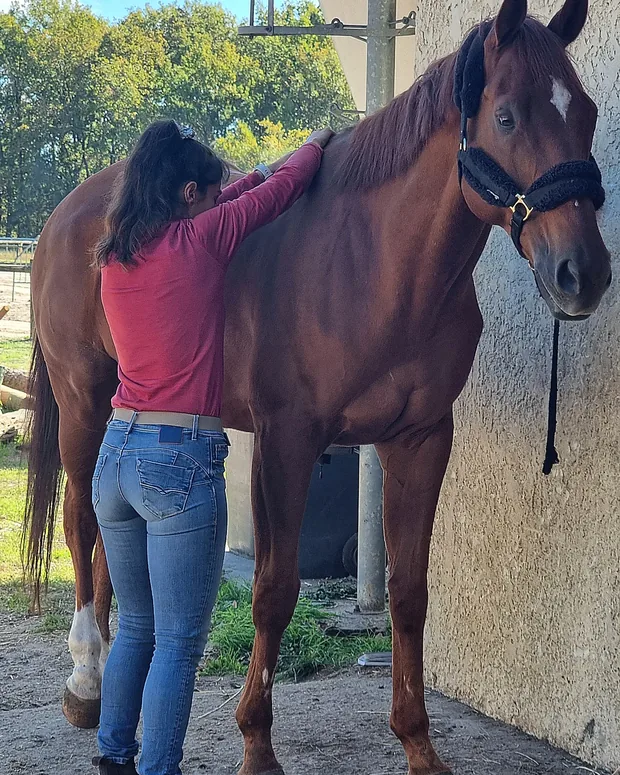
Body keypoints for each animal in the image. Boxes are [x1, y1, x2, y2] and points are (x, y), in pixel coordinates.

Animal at [24, 0, 611, 772]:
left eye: (590, 113)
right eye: (508, 117)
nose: (584, 273)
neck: (373, 264)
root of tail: (76, 209)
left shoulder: (420, 440)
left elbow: (409, 592)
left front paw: (418, 743)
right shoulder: (289, 442)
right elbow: (275, 590)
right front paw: (256, 743)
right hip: (85, 403)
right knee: (82, 521)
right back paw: (87, 680)